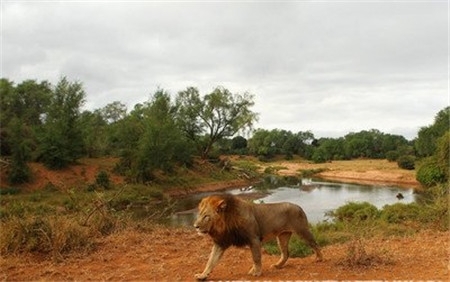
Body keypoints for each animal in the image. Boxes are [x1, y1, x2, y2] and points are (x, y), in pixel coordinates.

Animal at [194, 194, 324, 280]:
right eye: (199, 215)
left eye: (206, 216)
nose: (195, 226)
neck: (226, 223)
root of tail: (298, 206)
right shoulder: (220, 242)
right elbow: (211, 261)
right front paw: (202, 275)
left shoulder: (254, 239)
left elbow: (256, 257)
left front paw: (256, 272)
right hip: (282, 236)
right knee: (286, 253)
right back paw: (277, 265)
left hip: (302, 230)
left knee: (315, 244)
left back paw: (319, 259)